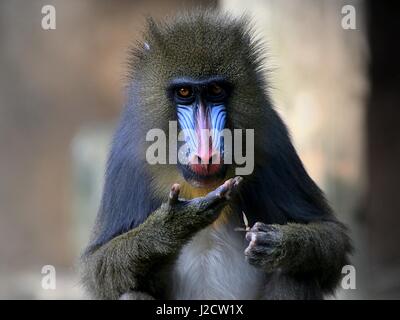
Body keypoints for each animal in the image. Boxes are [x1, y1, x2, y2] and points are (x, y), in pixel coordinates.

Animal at [80, 10, 350, 300]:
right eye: (184, 92)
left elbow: (333, 239)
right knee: (131, 293)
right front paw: (176, 222)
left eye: (215, 91)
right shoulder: (127, 155)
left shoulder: (273, 140)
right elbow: (97, 267)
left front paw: (278, 243)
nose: (206, 154)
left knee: (295, 276)